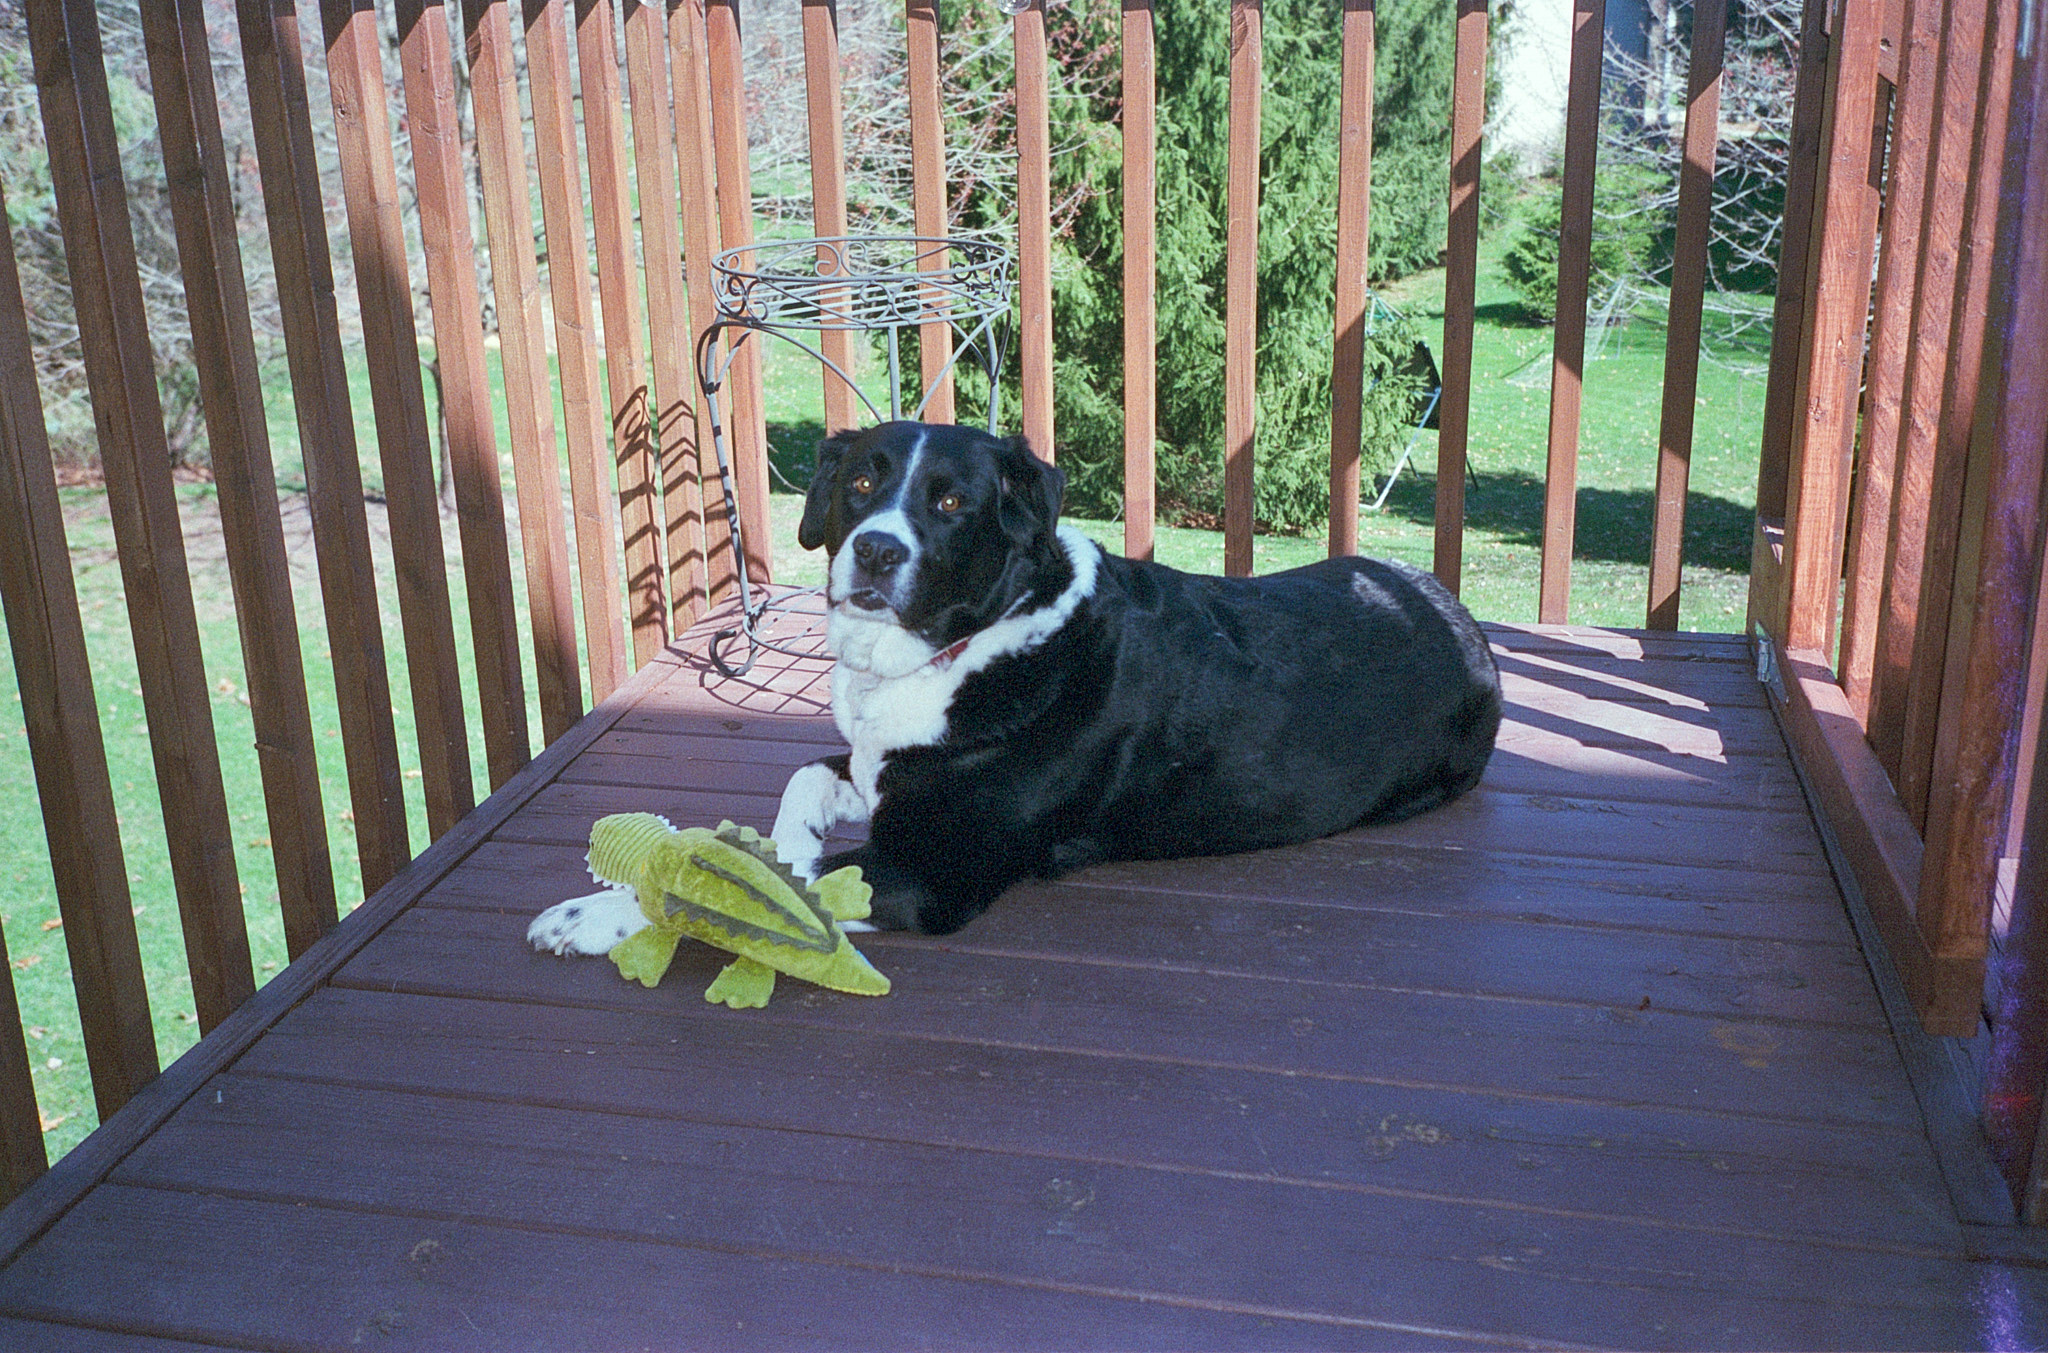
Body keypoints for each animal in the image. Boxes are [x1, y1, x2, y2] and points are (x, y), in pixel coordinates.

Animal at [528, 421, 1499, 949]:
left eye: (953, 503)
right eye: (861, 480)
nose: (874, 551)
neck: (961, 649)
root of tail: (1455, 607)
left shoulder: (932, 868)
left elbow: (745, 884)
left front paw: (598, 915)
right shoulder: (877, 769)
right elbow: (797, 799)